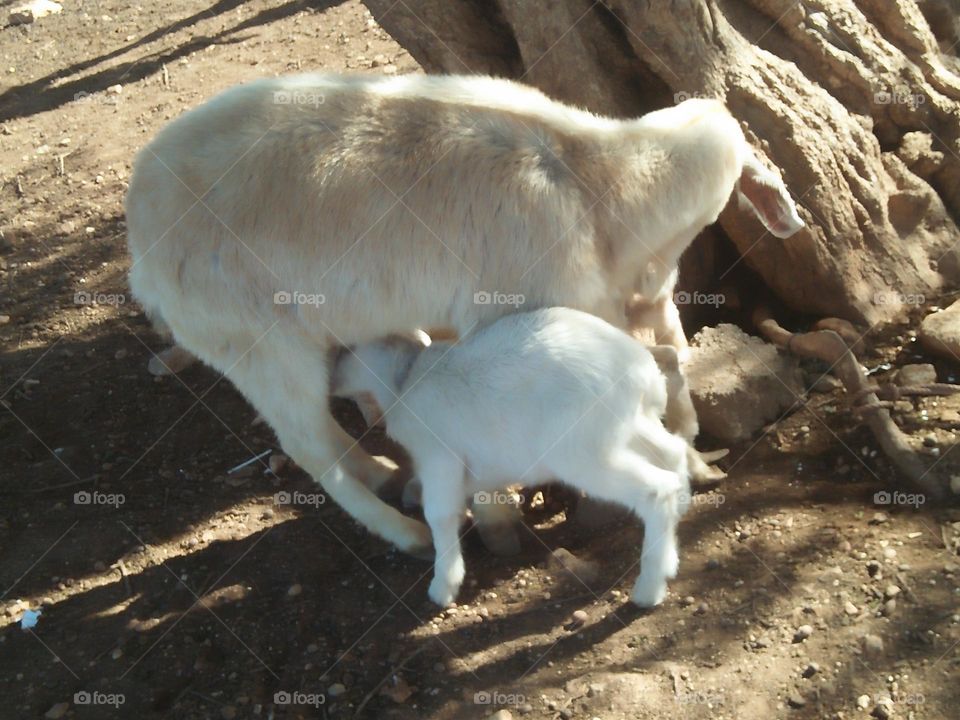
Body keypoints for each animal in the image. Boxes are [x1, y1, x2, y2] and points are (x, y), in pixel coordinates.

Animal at [125, 71, 804, 556]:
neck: (597, 186)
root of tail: (138, 239)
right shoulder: (520, 308)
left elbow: (672, 358)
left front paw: (692, 447)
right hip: (259, 343)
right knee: (308, 443)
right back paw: (402, 530)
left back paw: (386, 473)